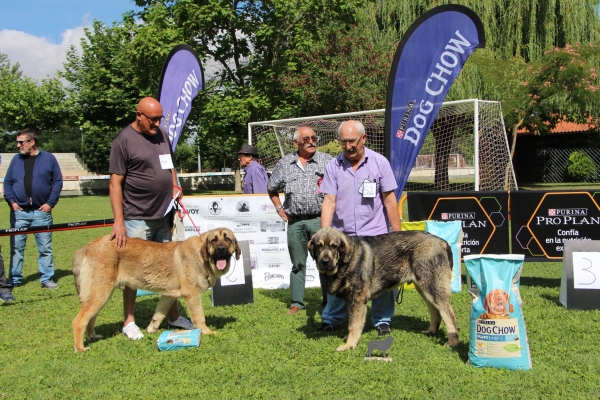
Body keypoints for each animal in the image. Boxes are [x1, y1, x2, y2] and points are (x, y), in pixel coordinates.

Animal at [71, 228, 239, 354]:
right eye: (214, 240)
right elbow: (199, 317)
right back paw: (80, 348)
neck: (202, 256)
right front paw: (206, 332)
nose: (221, 249)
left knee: (90, 317)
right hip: (102, 292)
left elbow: (158, 314)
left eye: (227, 239)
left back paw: (92, 336)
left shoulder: (168, 295)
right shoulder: (192, 295)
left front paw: (152, 330)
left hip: (100, 293)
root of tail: (86, 248)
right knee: (79, 320)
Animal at [310, 227, 460, 352]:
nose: (325, 262)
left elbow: (353, 324)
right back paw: (431, 331)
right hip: (424, 288)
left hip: (432, 287)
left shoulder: (357, 299)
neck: (345, 261)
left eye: (334, 246)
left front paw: (349, 345)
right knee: (435, 311)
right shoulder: (351, 300)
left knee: (449, 314)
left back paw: (453, 342)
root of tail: (443, 242)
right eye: (319, 246)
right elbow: (353, 322)